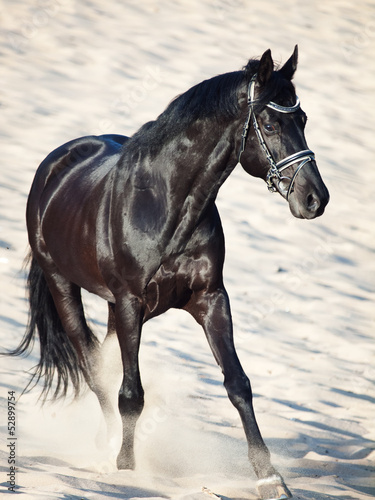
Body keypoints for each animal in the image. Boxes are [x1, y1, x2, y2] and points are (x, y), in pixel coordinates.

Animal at [11, 46, 328, 496]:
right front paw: (126, 468)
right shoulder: (130, 302)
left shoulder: (210, 299)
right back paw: (107, 445)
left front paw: (270, 477)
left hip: (115, 309)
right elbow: (130, 394)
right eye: (269, 123)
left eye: (302, 120)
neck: (167, 205)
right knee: (95, 369)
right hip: (64, 287)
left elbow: (238, 384)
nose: (315, 198)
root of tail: (55, 164)